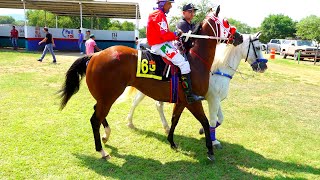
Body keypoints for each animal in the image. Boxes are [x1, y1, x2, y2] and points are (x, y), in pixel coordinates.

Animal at [59, 8, 240, 160]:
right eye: (226, 22)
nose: (238, 36)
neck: (195, 61)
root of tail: (95, 56)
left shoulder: (181, 101)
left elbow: (174, 120)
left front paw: (172, 142)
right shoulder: (193, 101)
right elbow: (205, 122)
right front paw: (210, 150)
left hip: (105, 97)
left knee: (97, 112)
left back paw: (106, 135)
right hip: (109, 96)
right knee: (95, 119)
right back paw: (102, 150)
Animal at [125, 32, 268, 148]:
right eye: (258, 47)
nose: (264, 66)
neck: (218, 69)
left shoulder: (216, 100)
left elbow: (220, 118)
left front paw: (202, 131)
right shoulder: (213, 100)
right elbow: (212, 119)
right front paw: (213, 141)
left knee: (156, 105)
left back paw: (164, 127)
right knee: (136, 102)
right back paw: (130, 123)